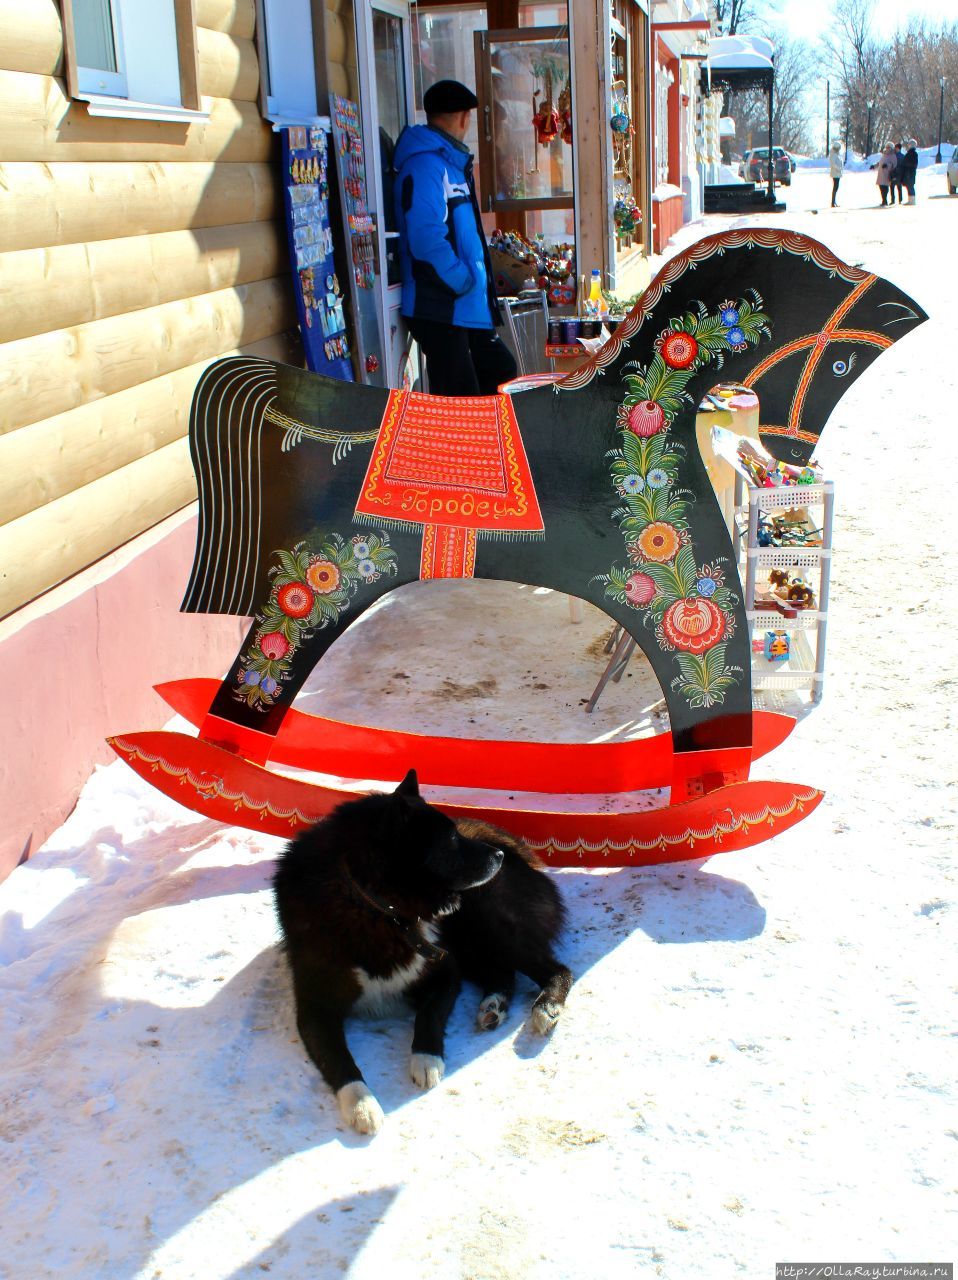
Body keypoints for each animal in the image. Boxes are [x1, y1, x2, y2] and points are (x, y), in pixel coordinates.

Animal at [271, 768, 568, 1131]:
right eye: (451, 840)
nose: (497, 857)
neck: (374, 907)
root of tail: (519, 851)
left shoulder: (444, 970)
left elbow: (428, 1015)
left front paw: (425, 1060)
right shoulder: (315, 1009)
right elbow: (338, 1060)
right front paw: (362, 1105)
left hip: (486, 923)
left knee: (555, 969)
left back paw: (546, 1007)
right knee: (502, 973)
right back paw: (493, 1006)